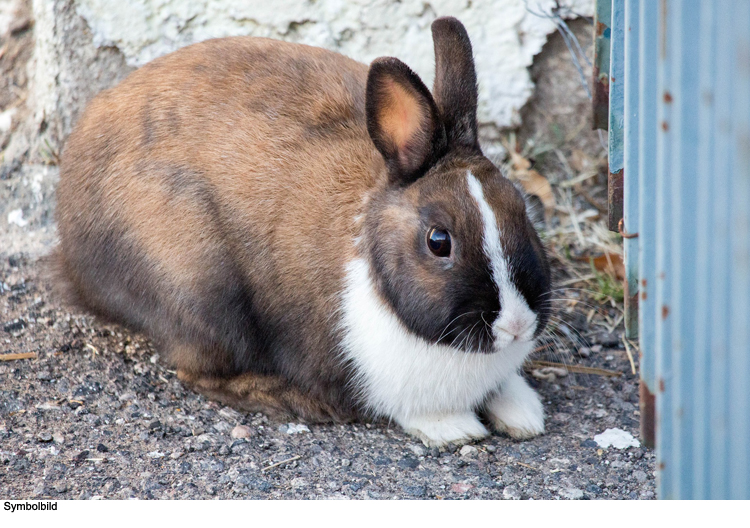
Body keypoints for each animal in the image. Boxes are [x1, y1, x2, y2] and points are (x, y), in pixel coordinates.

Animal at [54, 17, 552, 446]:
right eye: (439, 241)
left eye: (521, 209)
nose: (516, 325)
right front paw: (456, 429)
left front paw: (524, 415)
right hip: (200, 290)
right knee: (199, 372)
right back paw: (287, 399)